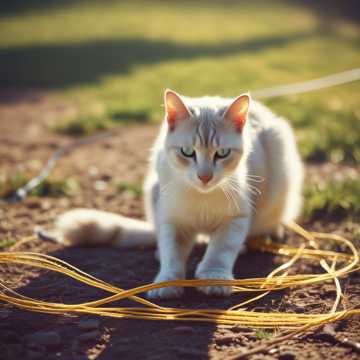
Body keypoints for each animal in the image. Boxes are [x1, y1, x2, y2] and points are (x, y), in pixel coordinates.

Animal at [55, 89, 304, 298]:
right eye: (187, 152)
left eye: (222, 153)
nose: (205, 177)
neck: (201, 198)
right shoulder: (170, 220)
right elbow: (172, 253)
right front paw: (167, 282)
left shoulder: (237, 217)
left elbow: (221, 248)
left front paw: (214, 277)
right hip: (152, 192)